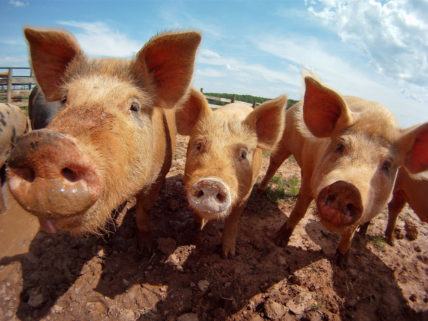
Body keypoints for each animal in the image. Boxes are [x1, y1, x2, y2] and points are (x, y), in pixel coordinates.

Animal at [6, 26, 201, 249]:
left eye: (134, 106)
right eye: (65, 99)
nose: (45, 146)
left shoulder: (156, 178)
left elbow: (143, 212)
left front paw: (146, 248)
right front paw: (106, 239)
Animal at [176, 87, 286, 255]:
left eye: (243, 154)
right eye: (199, 145)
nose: (212, 183)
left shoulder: (246, 193)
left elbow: (233, 219)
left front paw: (228, 254)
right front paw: (194, 233)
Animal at [258, 76, 428, 266]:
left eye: (387, 165)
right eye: (340, 146)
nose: (347, 188)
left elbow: (350, 232)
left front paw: (342, 263)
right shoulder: (311, 176)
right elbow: (299, 210)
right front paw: (279, 241)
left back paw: (389, 241)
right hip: (283, 142)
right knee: (274, 165)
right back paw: (260, 192)